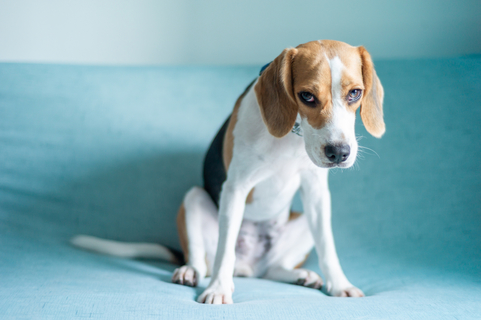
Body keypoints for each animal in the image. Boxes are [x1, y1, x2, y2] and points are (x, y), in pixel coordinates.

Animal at [71, 40, 384, 304]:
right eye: (306, 96)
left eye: (355, 93)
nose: (339, 153)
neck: (292, 135)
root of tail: (248, 266)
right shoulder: (235, 188)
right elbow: (225, 250)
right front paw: (219, 290)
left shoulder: (316, 192)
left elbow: (327, 247)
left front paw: (339, 284)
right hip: (193, 199)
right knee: (204, 259)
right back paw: (190, 272)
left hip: (302, 222)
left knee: (271, 270)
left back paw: (299, 275)